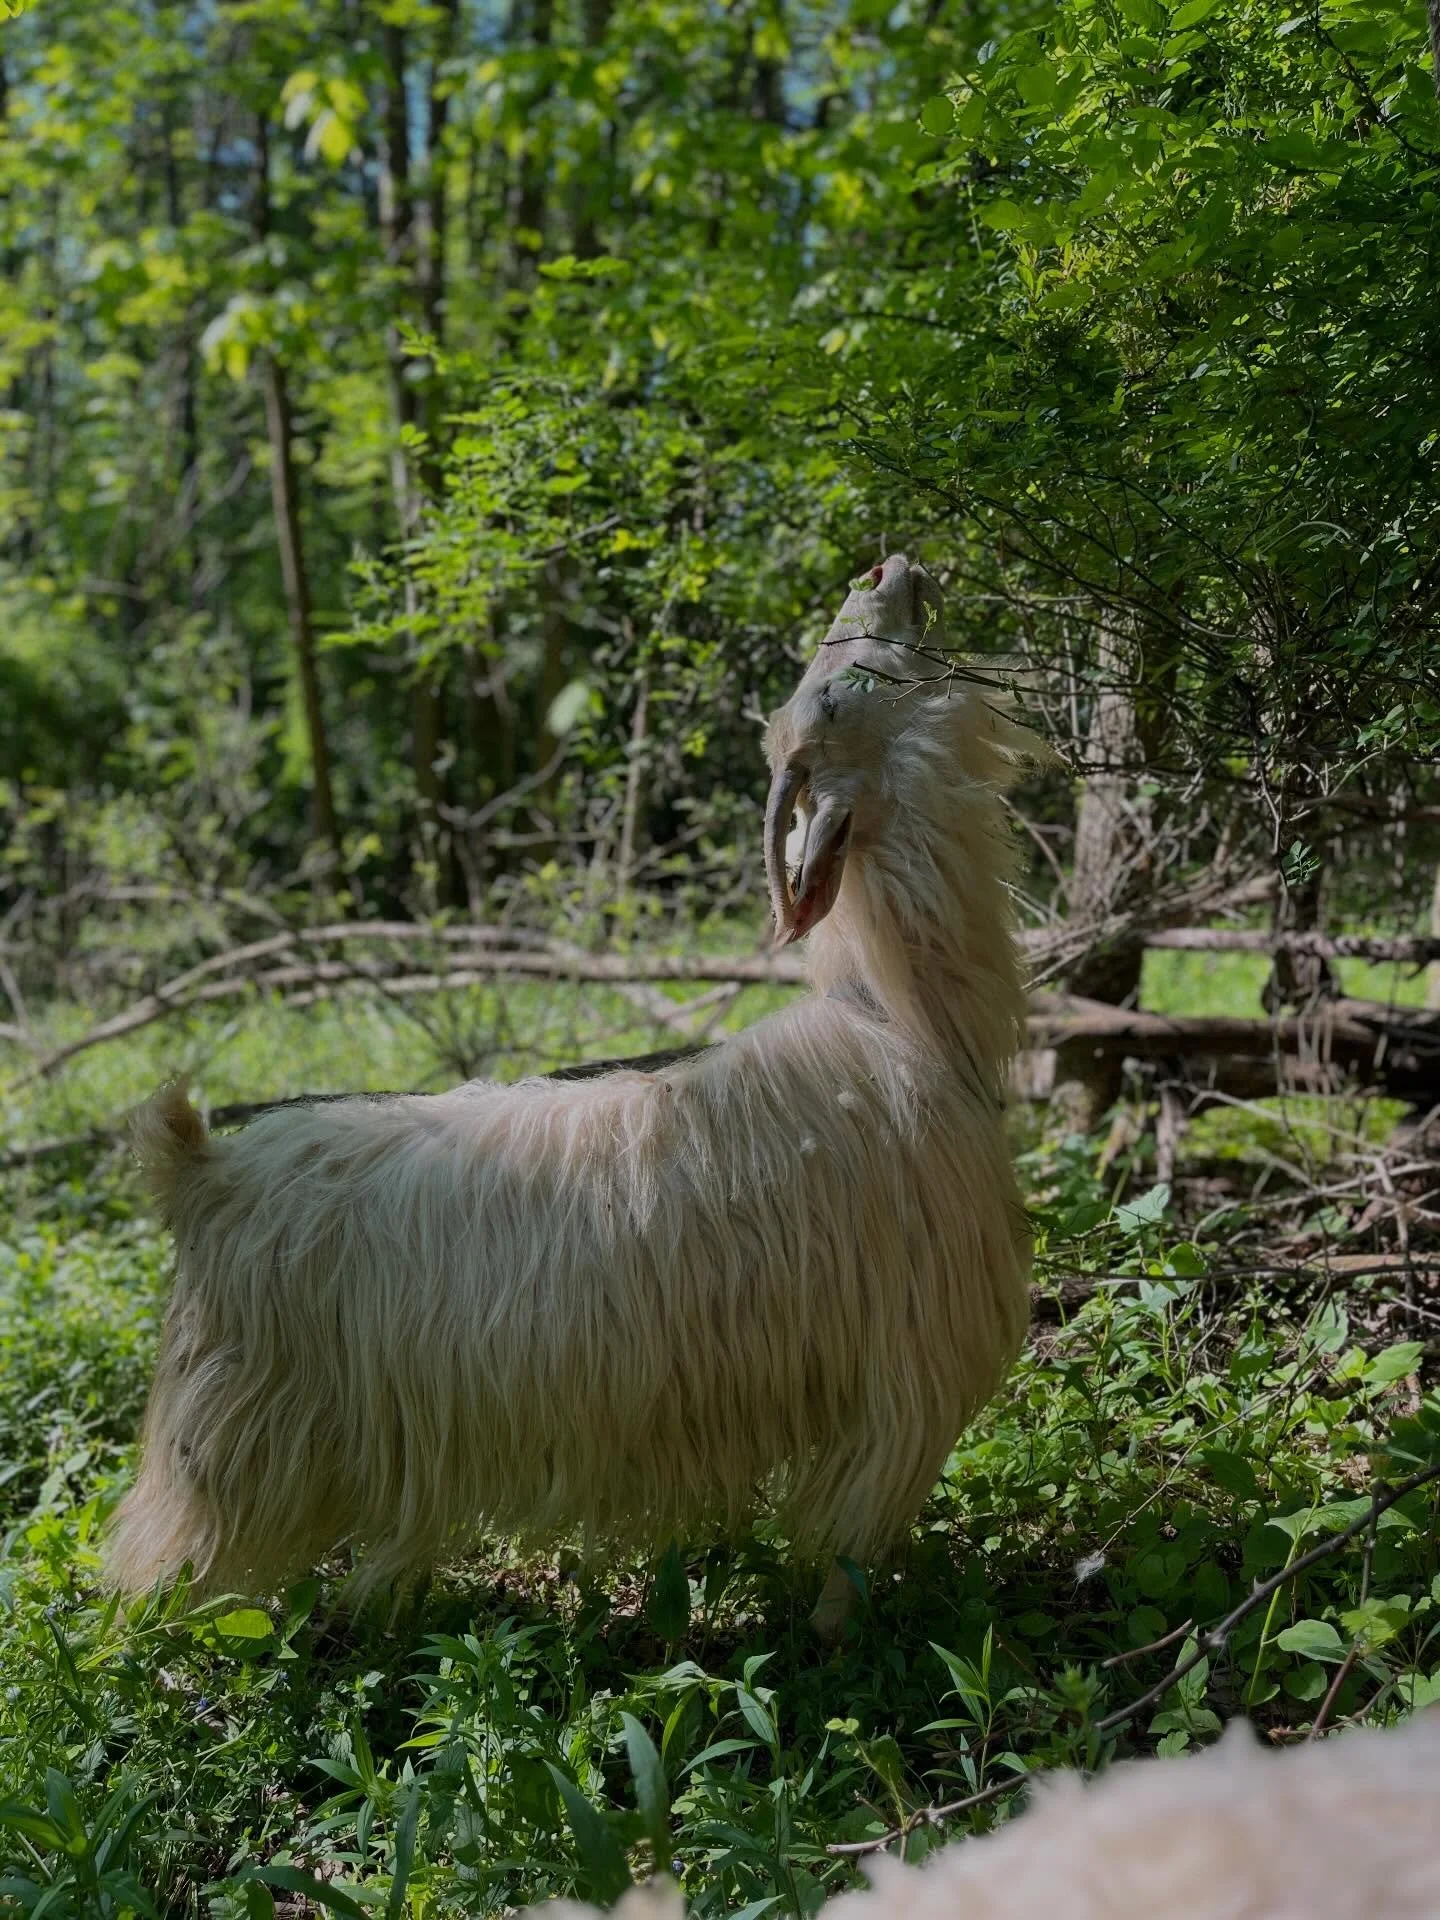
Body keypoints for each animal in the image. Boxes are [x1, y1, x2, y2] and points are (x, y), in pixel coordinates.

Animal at [106, 555, 1034, 1616]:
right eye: (839, 693)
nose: (886, 566)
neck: (898, 1017)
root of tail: (200, 1167)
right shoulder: (904, 1380)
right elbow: (847, 1563)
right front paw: (850, 1642)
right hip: (222, 1451)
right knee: (152, 1578)